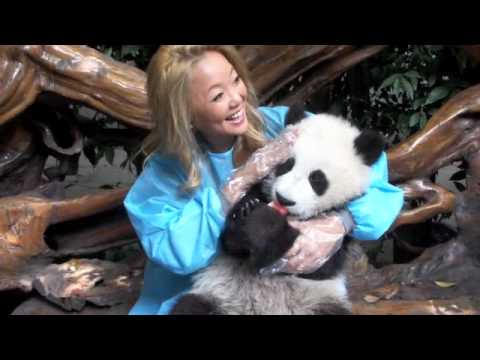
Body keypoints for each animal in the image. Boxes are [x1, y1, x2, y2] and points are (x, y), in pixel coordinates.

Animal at [171, 104, 384, 316]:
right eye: (286, 165)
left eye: (317, 179)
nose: (284, 199)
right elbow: (231, 243)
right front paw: (249, 209)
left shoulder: (338, 237)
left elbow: (321, 268)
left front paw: (267, 222)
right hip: (217, 294)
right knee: (190, 306)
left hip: (320, 302)